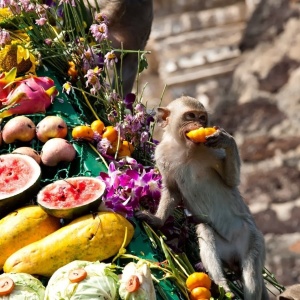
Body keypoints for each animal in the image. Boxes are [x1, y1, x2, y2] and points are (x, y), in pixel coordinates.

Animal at [136, 96, 270, 300]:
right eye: (190, 116)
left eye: (202, 118)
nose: (199, 124)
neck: (186, 149)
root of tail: (232, 257)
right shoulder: (161, 154)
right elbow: (172, 190)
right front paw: (157, 220)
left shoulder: (213, 150)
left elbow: (231, 181)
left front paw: (227, 140)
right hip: (224, 252)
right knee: (205, 230)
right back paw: (222, 284)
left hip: (252, 239)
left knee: (251, 269)